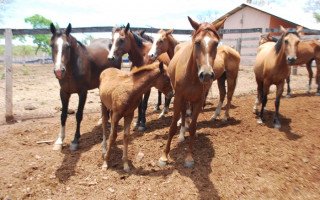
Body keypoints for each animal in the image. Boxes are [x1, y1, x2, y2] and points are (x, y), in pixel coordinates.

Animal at [49, 23, 120, 151]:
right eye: (52, 45)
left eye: (67, 46)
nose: (59, 71)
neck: (72, 69)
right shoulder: (64, 92)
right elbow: (63, 115)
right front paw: (59, 141)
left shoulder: (82, 92)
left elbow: (78, 115)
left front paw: (75, 140)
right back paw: (102, 119)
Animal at [158, 16, 225, 168]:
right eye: (197, 42)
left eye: (216, 43)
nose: (206, 75)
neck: (192, 76)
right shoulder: (178, 98)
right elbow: (172, 127)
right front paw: (164, 155)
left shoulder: (199, 100)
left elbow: (193, 127)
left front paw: (189, 156)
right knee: (183, 113)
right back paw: (182, 133)